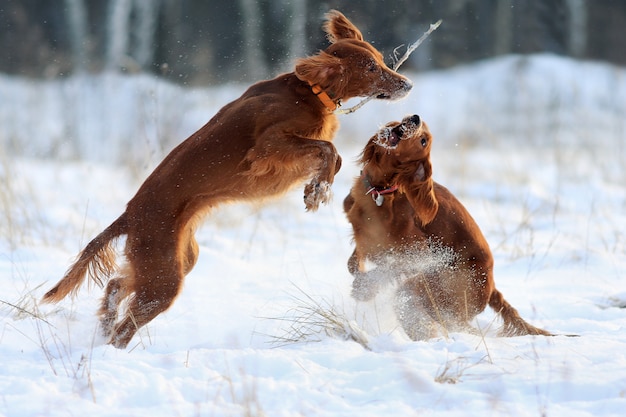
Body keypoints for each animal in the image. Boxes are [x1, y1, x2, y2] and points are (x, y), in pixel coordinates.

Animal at [41, 10, 412, 348]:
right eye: (370, 67)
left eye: (381, 60)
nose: (407, 84)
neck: (308, 90)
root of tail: (129, 214)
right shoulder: (267, 146)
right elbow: (328, 150)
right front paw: (317, 191)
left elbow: (332, 155)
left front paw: (314, 188)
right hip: (164, 279)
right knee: (125, 327)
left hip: (176, 261)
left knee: (116, 285)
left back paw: (103, 326)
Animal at [342, 114, 552, 338]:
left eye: (423, 141)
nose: (415, 118)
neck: (382, 191)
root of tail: (491, 289)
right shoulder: (364, 236)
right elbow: (352, 263)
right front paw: (361, 277)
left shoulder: (419, 252)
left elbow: (389, 268)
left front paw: (365, 288)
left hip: (429, 287)